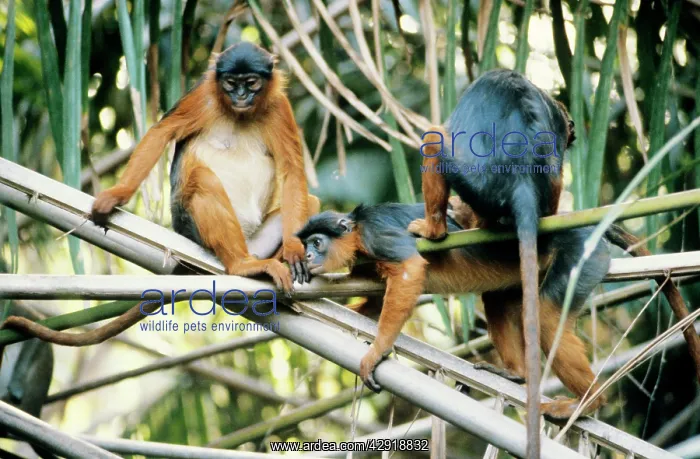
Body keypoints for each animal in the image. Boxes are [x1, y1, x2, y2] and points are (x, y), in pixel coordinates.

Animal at [0, 42, 321, 347]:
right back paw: (243, 267)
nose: (241, 96)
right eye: (231, 83)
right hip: (192, 228)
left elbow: (293, 171)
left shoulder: (278, 106)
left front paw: (294, 251)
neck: (240, 115)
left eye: (251, 83)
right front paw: (117, 194)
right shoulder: (204, 95)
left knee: (310, 200)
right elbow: (162, 131)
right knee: (203, 180)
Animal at [295, 201, 692, 420]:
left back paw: (589, 402)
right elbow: (376, 301)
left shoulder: (377, 235)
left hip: (582, 253)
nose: (309, 255)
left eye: (317, 242)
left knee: (548, 316)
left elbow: (410, 271)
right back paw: (516, 376)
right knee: (497, 300)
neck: (357, 233)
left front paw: (376, 352)